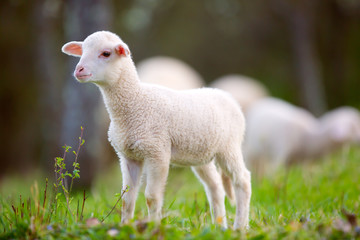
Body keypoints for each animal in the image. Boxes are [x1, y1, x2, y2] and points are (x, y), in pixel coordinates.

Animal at [62, 31, 252, 230]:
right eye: (82, 51)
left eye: (106, 53)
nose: (79, 70)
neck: (136, 102)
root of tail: (227, 96)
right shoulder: (128, 156)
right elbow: (127, 199)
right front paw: (126, 226)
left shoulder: (157, 152)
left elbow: (151, 197)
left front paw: (153, 227)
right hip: (201, 154)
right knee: (215, 186)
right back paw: (219, 226)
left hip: (229, 147)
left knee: (243, 181)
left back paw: (240, 226)